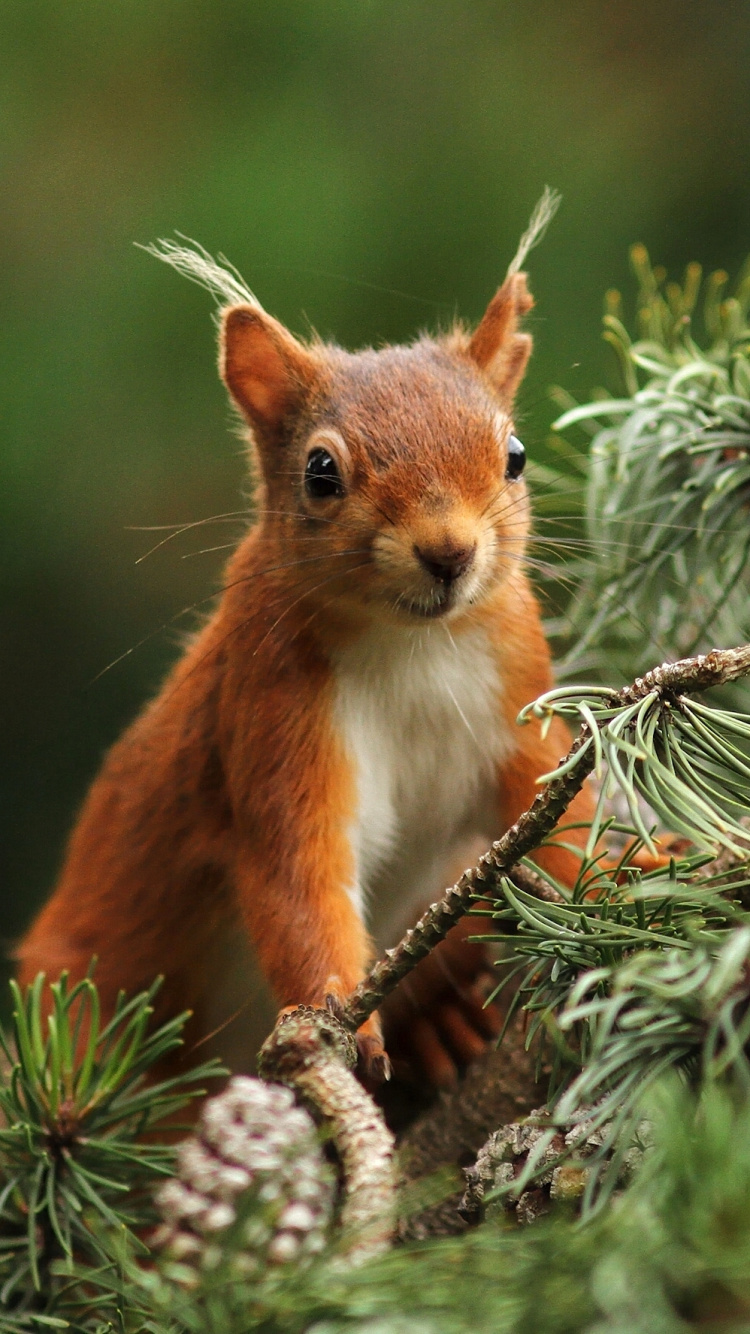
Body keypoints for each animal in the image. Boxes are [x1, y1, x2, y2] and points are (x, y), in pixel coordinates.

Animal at [16, 232, 589, 1083]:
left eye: (515, 454)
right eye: (321, 472)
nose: (448, 552)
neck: (411, 645)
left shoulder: (519, 695)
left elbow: (560, 813)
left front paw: (637, 875)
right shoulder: (272, 718)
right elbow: (298, 882)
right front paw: (343, 1024)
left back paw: (446, 1018)